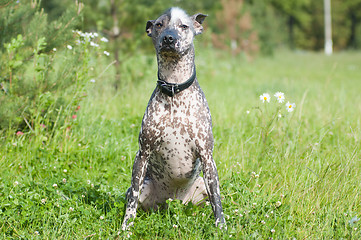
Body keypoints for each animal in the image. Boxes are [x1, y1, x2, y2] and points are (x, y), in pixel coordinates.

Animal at [122, 6, 226, 230]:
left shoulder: (207, 156)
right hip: (146, 188)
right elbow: (132, 200)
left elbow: (217, 200)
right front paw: (125, 227)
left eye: (184, 26)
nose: (169, 38)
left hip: (201, 185)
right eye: (159, 25)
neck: (174, 89)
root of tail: (172, 202)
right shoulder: (142, 155)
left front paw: (221, 227)